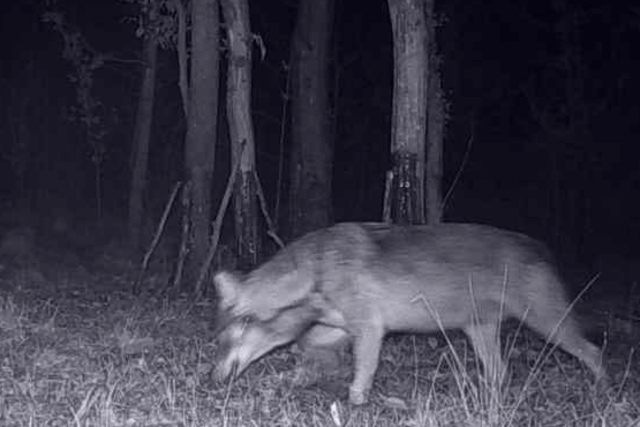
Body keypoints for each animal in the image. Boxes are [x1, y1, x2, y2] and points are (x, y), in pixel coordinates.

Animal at [214, 222, 604, 406]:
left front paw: (356, 401)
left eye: (222, 341)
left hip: (548, 323)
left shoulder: (370, 328)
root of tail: (538, 246)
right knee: (500, 373)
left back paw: (605, 389)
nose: (210, 378)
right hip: (479, 332)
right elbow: (307, 351)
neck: (316, 269)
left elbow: (364, 369)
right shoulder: (338, 328)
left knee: (594, 351)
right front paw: (296, 378)